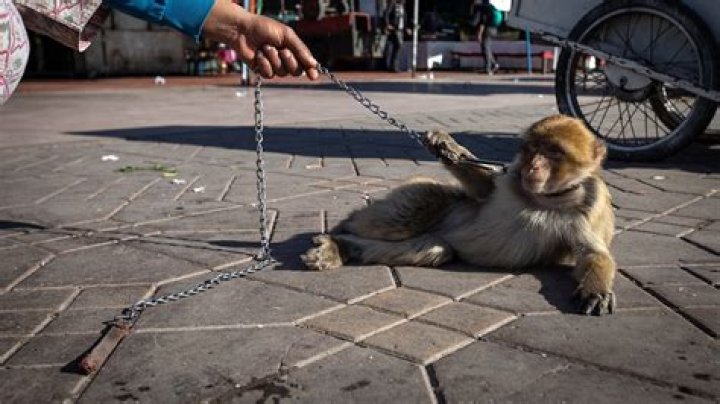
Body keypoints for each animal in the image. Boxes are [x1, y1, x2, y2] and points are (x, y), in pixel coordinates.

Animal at [301, 115, 616, 315]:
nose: (533, 166)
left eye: (553, 152)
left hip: (439, 236)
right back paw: (339, 236)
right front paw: (446, 146)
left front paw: (596, 289)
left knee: (435, 249)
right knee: (419, 206)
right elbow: (484, 189)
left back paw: (344, 247)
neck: (545, 197)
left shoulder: (590, 208)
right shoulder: (512, 175)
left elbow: (592, 253)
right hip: (440, 205)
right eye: (532, 149)